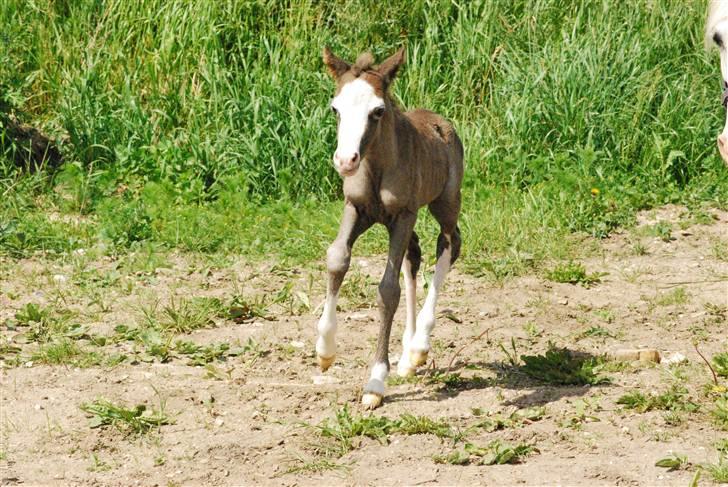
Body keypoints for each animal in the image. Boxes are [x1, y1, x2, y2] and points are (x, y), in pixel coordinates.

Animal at [315, 46, 464, 409]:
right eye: (335, 108)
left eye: (378, 111)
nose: (345, 161)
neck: (377, 167)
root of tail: (443, 124)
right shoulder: (356, 209)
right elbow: (337, 259)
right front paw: (325, 350)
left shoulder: (404, 214)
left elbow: (387, 289)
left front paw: (375, 382)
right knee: (415, 254)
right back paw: (408, 357)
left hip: (445, 203)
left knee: (449, 243)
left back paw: (419, 345)